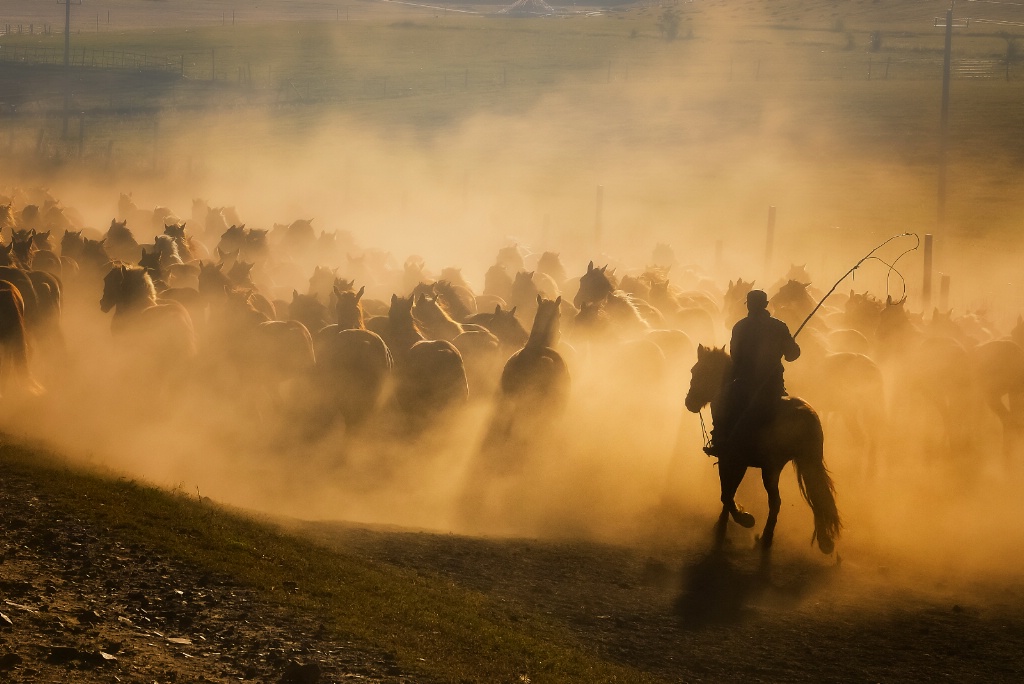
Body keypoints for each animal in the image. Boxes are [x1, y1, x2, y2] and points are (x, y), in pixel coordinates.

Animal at [688, 344, 839, 552]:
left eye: (701, 371)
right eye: (693, 371)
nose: (689, 403)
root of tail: (806, 415)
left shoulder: (732, 459)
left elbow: (727, 493)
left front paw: (744, 518)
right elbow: (728, 491)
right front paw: (725, 521)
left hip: (771, 468)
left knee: (776, 501)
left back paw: (767, 536)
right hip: (806, 463)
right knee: (817, 495)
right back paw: (823, 539)